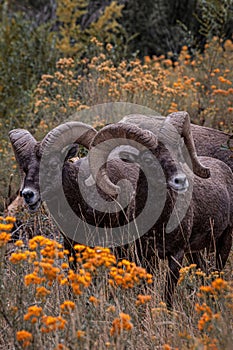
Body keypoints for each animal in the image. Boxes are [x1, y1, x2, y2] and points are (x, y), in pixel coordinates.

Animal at [87, 112, 233, 306]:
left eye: (178, 152)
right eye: (149, 159)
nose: (181, 181)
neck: (159, 224)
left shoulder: (176, 255)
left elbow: (168, 295)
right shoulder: (146, 255)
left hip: (225, 240)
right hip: (195, 252)